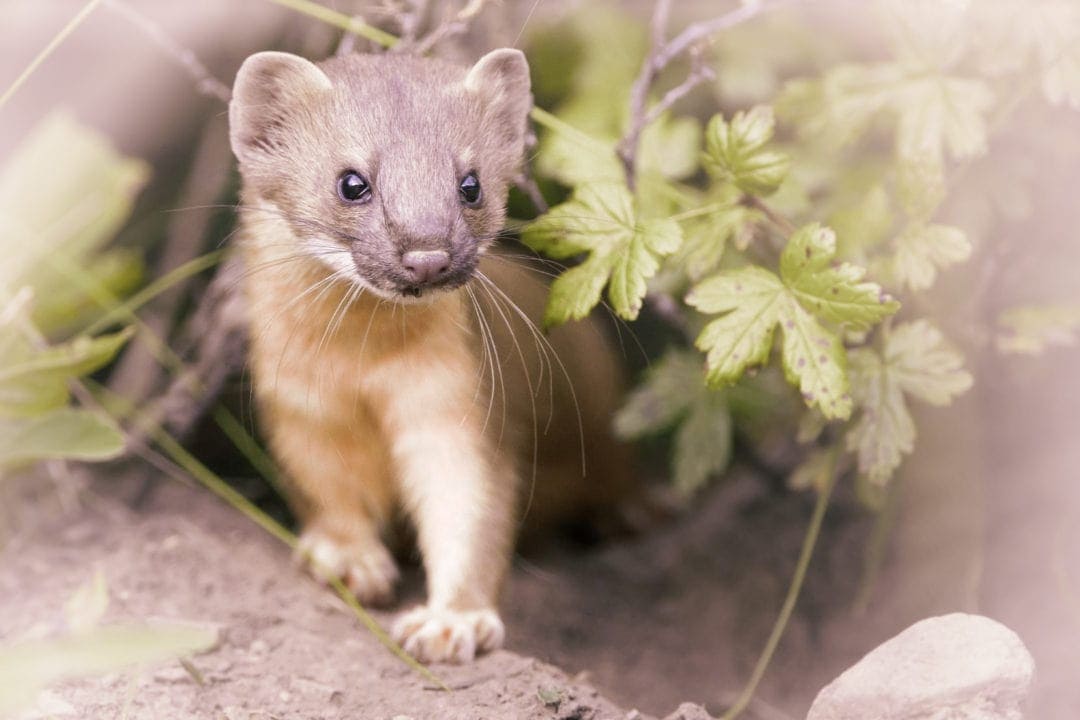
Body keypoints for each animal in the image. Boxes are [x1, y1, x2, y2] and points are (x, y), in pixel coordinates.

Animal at [227, 49, 630, 664]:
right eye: (352, 182)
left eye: (471, 184)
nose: (427, 254)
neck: (366, 373)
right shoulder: (298, 403)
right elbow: (323, 482)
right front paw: (348, 558)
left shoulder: (462, 399)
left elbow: (470, 505)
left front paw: (451, 622)